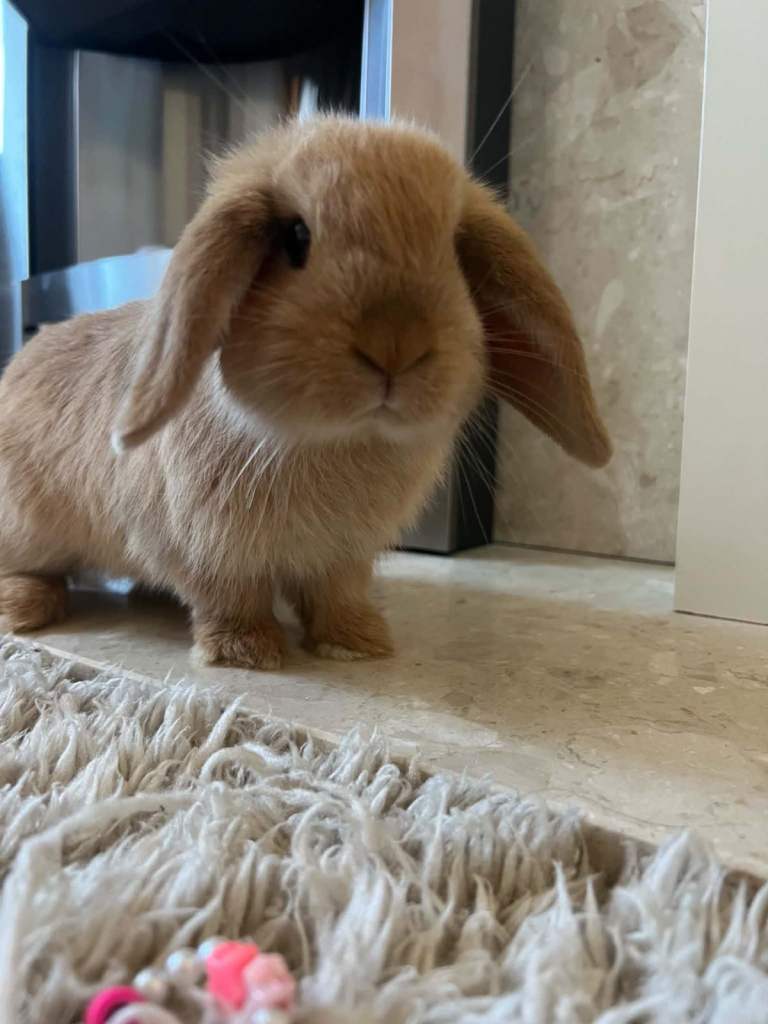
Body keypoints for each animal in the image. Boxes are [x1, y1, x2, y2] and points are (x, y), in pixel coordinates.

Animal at [0, 116, 611, 669]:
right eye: (296, 237)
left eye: (456, 252)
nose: (396, 342)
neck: (333, 440)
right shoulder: (201, 550)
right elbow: (230, 598)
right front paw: (247, 654)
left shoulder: (344, 556)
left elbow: (336, 595)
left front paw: (359, 644)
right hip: (27, 525)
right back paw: (23, 610)